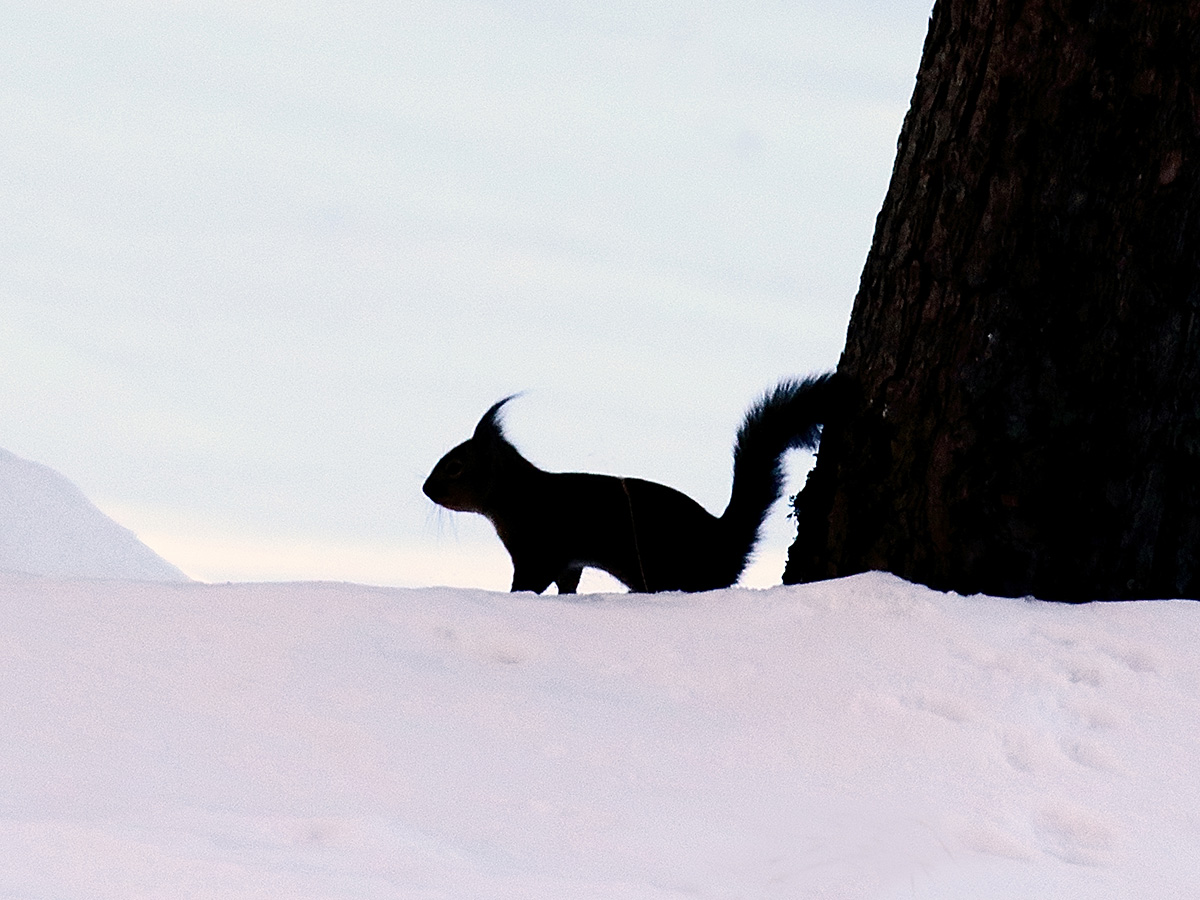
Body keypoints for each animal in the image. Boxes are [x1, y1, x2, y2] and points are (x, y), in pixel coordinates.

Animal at [427, 374, 840, 595]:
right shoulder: (566, 561)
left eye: (454, 466)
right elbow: (568, 581)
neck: (516, 496)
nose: (426, 489)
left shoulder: (540, 550)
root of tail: (726, 539)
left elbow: (530, 582)